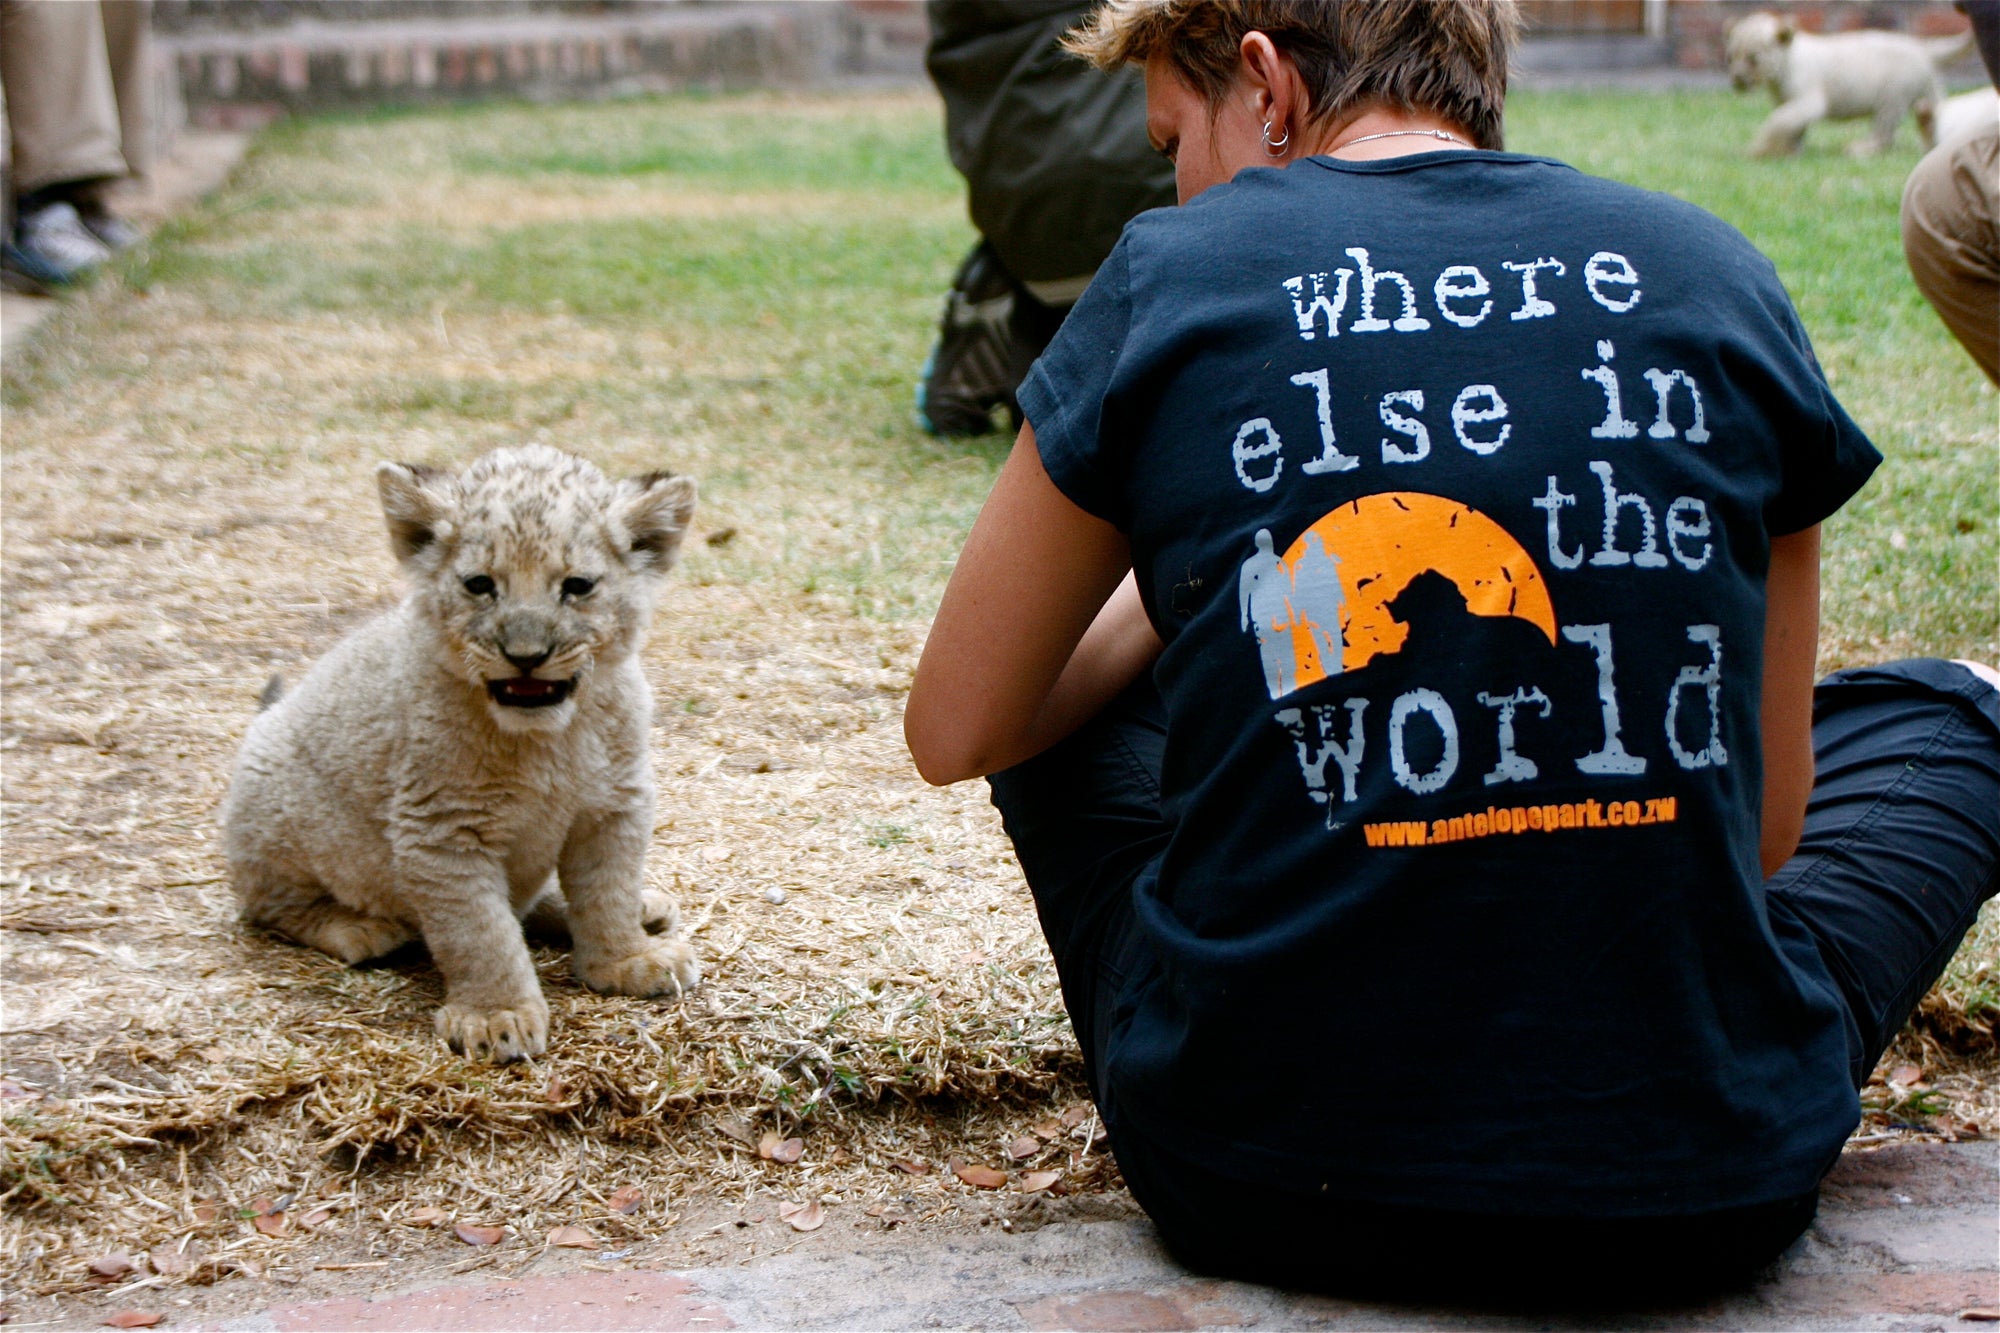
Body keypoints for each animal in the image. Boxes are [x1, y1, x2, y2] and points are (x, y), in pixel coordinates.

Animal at [222, 444, 701, 1062]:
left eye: (577, 586)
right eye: (479, 585)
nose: (527, 656)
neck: (549, 739)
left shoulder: (615, 805)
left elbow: (607, 891)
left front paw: (626, 958)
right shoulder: (440, 830)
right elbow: (479, 929)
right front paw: (497, 1016)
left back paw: (641, 911)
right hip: (272, 805)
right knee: (269, 905)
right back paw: (358, 929)